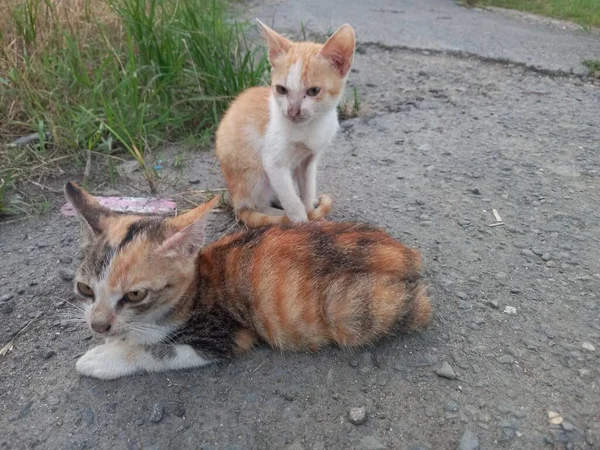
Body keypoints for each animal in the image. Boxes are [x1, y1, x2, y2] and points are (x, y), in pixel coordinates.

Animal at [64, 181, 432, 378]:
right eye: (85, 289)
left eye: (135, 295)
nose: (98, 325)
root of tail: (406, 254)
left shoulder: (224, 334)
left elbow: (156, 352)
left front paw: (103, 357)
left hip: (351, 310)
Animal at [216, 20, 356, 229]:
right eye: (281, 89)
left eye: (313, 91)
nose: (292, 112)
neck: (309, 127)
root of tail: (235, 199)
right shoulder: (273, 163)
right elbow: (293, 203)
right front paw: (302, 223)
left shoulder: (308, 161)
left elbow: (307, 191)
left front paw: (311, 211)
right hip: (254, 173)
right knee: (256, 205)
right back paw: (280, 215)